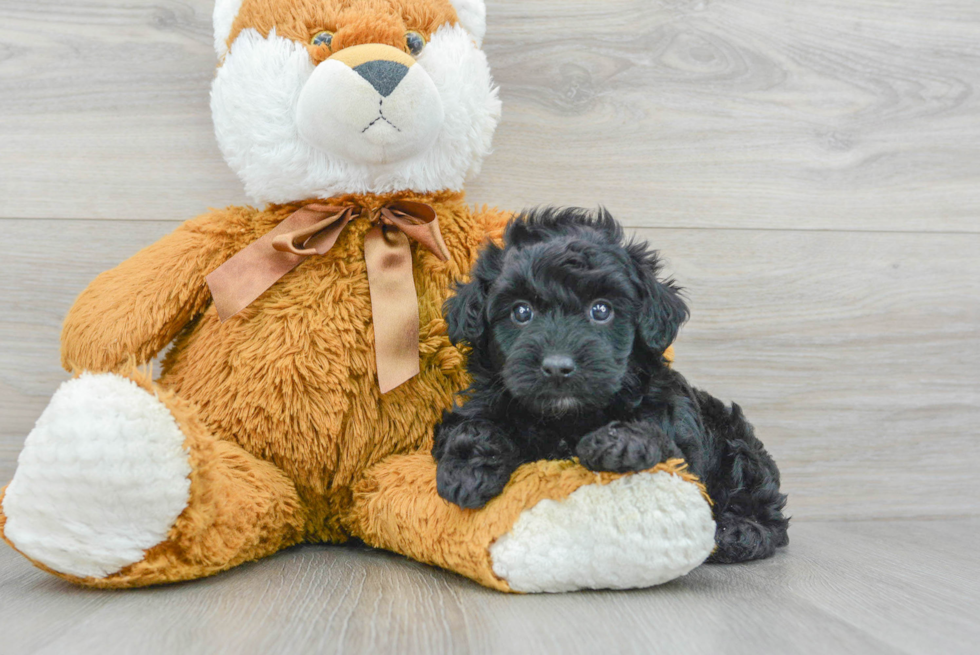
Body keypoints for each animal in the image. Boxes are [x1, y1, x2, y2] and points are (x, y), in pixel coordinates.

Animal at [434, 209, 788, 564]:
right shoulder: (475, 408)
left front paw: (619, 442)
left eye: (601, 310)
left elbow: (657, 437)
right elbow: (475, 428)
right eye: (521, 311)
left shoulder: (679, 447)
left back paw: (739, 533)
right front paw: (468, 471)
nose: (558, 367)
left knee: (767, 511)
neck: (566, 419)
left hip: (738, 448)